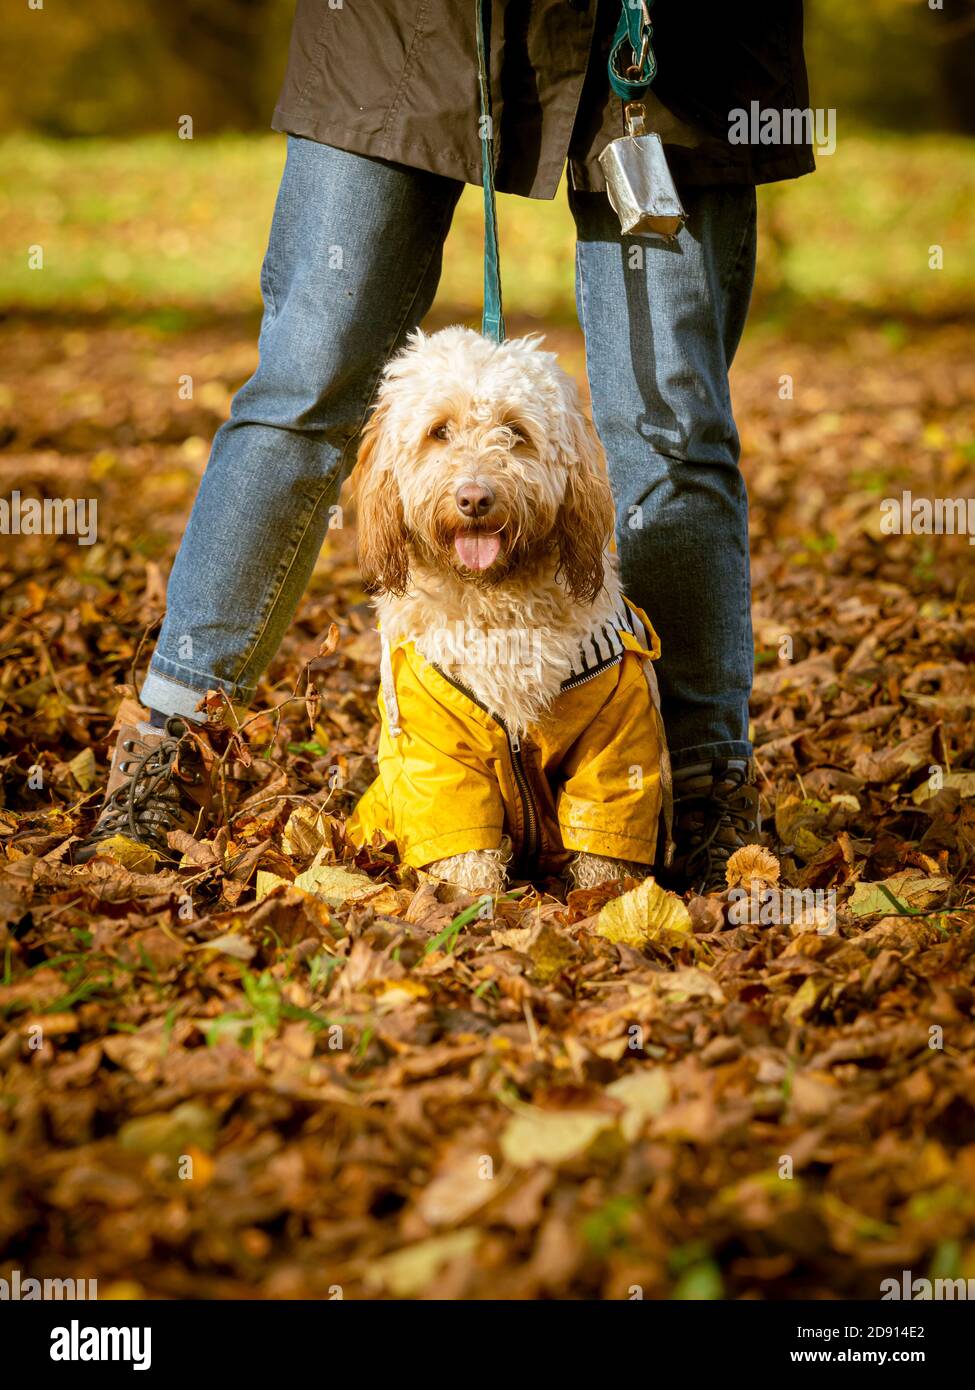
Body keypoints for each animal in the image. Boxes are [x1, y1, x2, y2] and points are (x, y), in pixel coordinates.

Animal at [343, 323, 670, 889]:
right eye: (439, 431)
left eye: (515, 432)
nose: (474, 498)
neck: (493, 599)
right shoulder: (430, 742)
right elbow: (460, 835)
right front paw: (469, 900)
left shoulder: (616, 728)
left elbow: (605, 822)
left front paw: (612, 899)